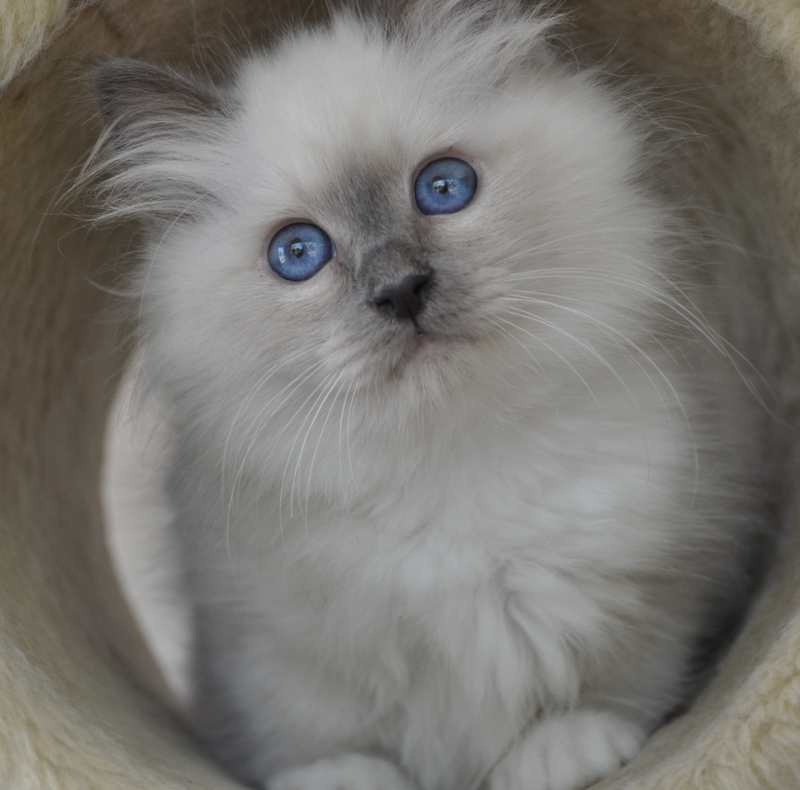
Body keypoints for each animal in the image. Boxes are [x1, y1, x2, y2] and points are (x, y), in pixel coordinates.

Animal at [92, 1, 768, 790]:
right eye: (298, 254)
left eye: (444, 188)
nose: (400, 290)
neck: (446, 465)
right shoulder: (261, 644)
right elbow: (311, 737)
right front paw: (345, 778)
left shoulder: (663, 567)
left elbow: (623, 680)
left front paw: (563, 752)